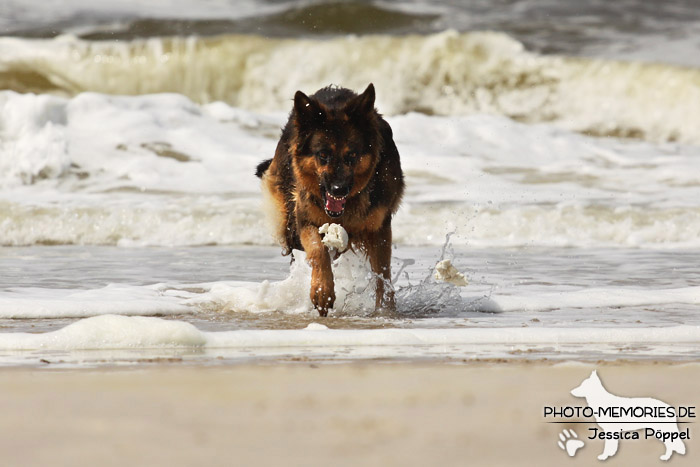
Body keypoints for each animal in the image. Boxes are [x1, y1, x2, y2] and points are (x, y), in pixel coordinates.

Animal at [256, 84, 404, 318]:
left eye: (352, 156)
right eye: (323, 155)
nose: (339, 190)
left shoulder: (379, 229)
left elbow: (383, 273)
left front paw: (385, 310)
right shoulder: (305, 221)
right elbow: (318, 251)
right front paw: (321, 291)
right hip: (289, 224)